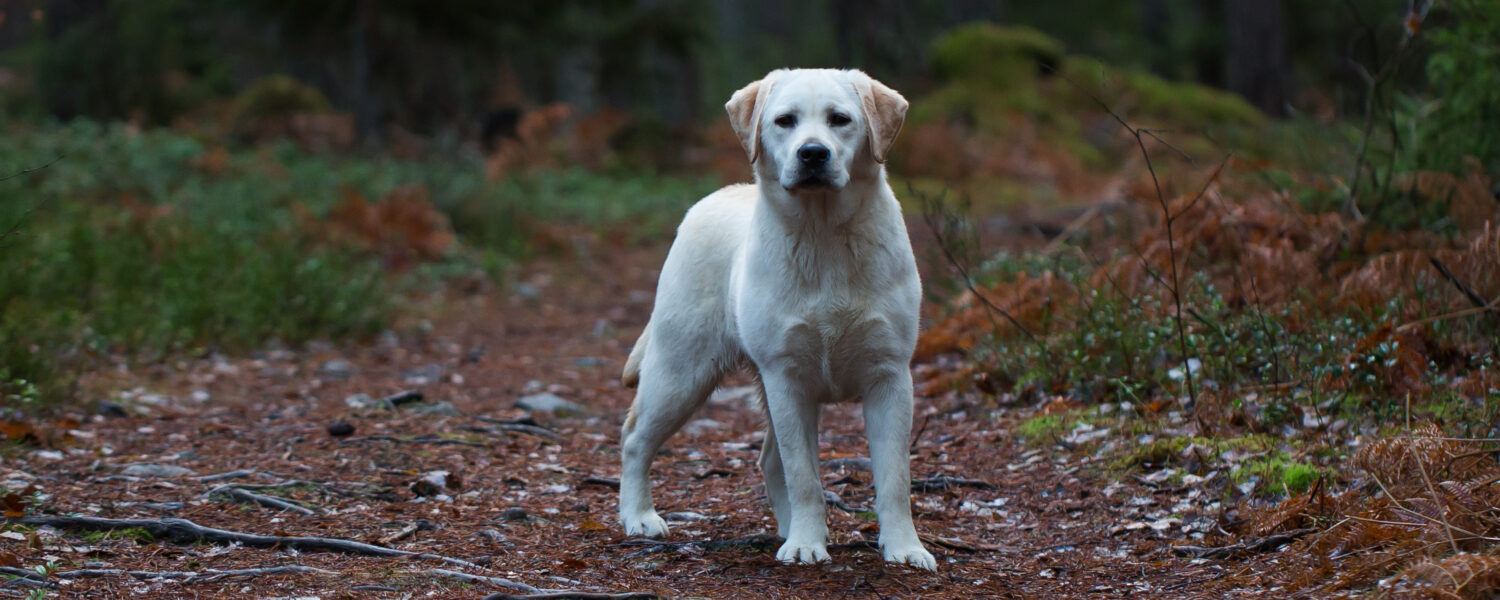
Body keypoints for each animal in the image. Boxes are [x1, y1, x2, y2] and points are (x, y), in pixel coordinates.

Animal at [615, 67, 930, 570]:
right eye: (785, 121)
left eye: (840, 119)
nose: (813, 153)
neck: (823, 234)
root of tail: (710, 200)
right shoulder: (788, 378)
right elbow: (805, 476)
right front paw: (806, 544)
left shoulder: (889, 376)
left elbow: (895, 478)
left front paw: (904, 548)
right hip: (681, 372)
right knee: (634, 438)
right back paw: (640, 517)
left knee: (767, 459)